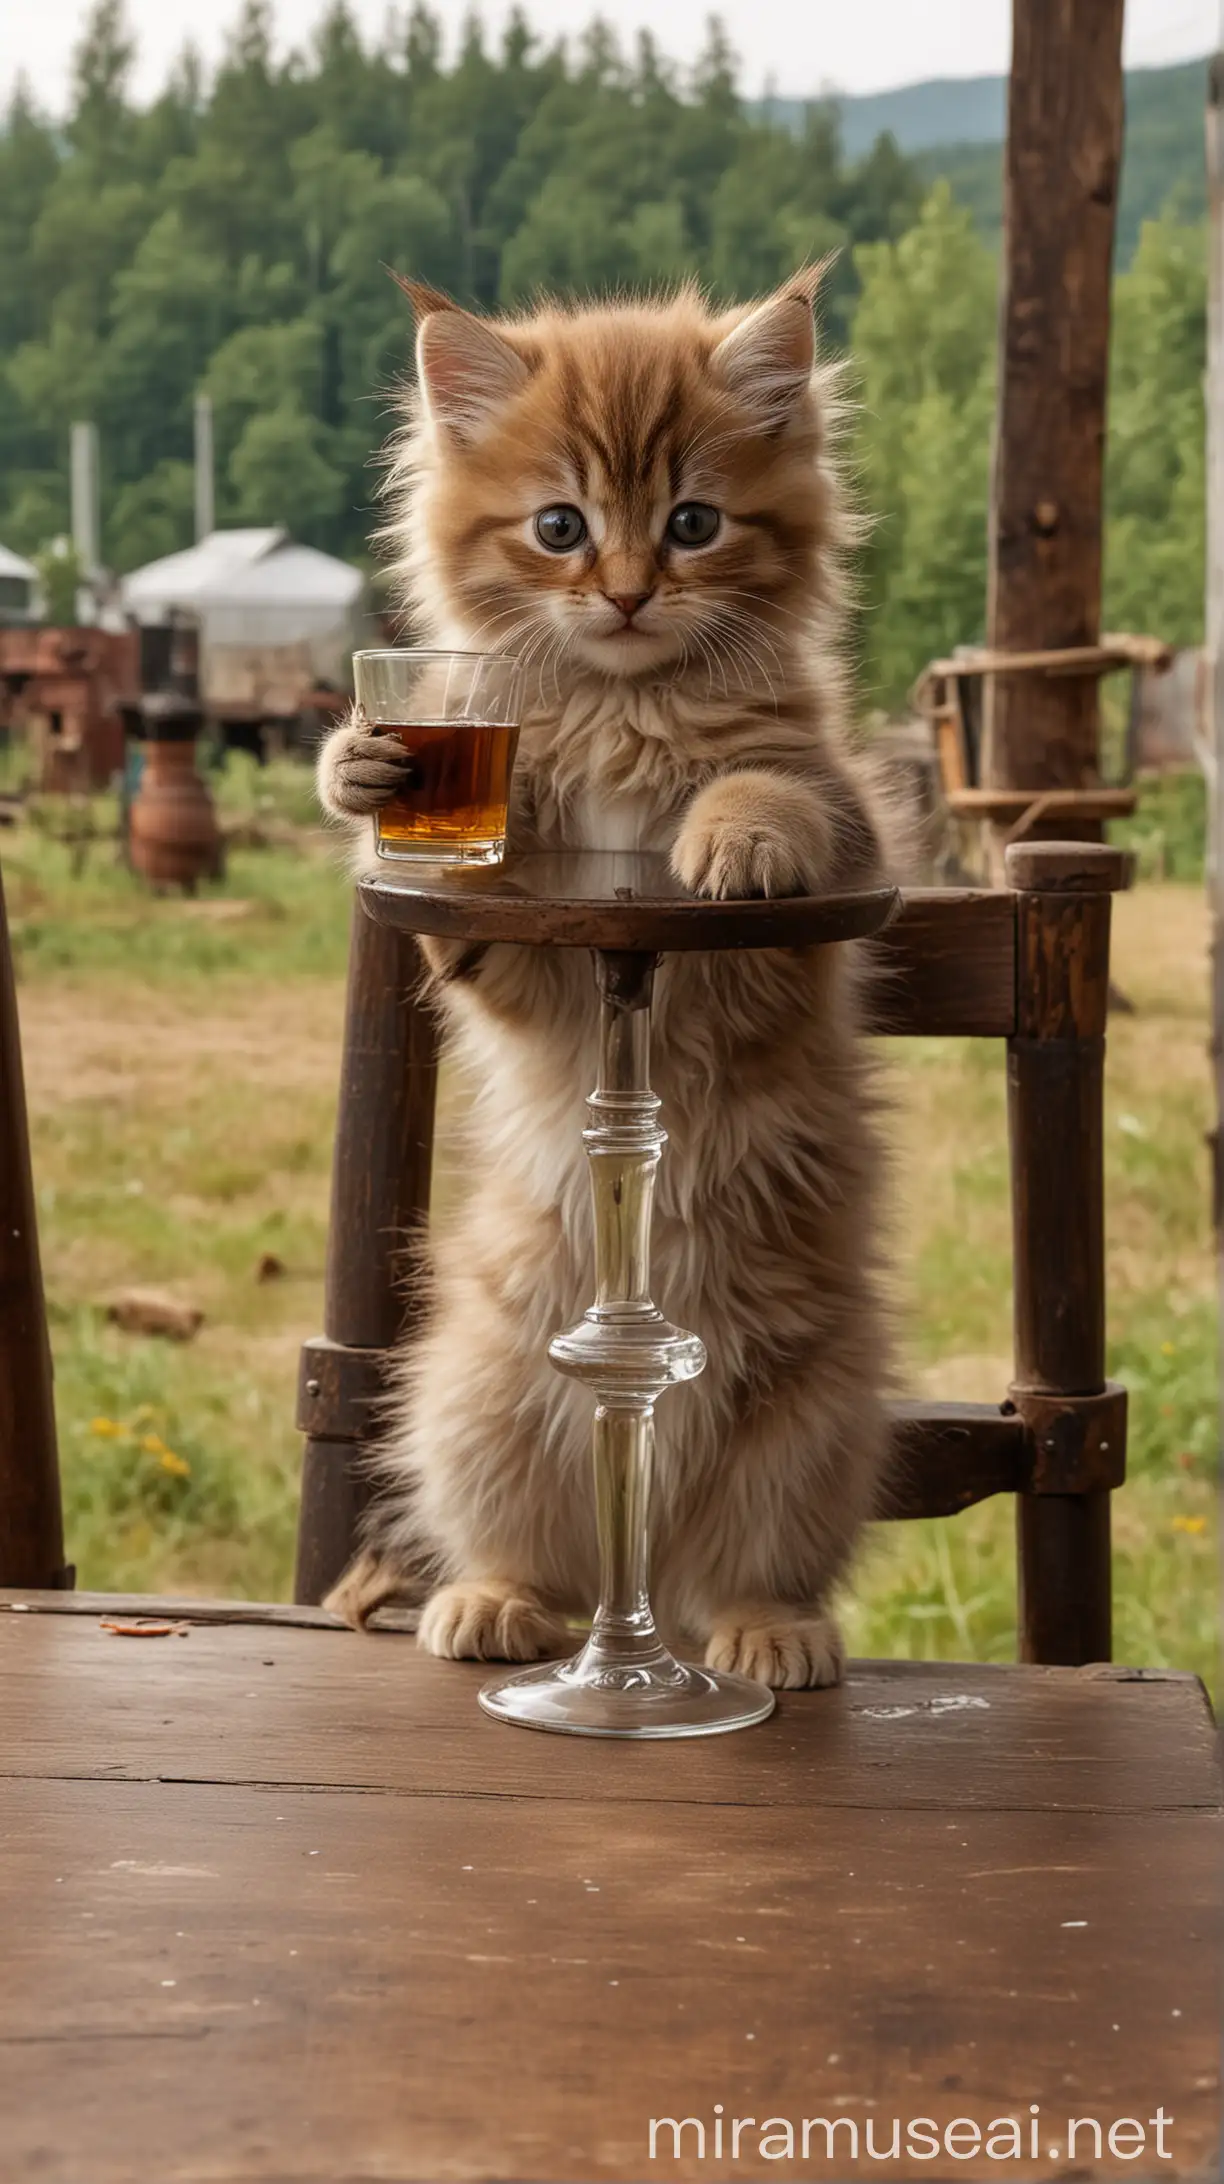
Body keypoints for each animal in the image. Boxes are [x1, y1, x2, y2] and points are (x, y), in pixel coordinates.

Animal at [314, 264, 896, 1677]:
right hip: (479, 1393)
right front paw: (362, 772)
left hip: (812, 1430)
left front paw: (737, 835)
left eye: (692, 523)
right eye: (560, 527)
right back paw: (496, 1604)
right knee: (551, 1557)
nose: (629, 592)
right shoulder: (535, 960)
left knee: (738, 1569)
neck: (628, 708)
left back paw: (761, 1633)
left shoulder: (818, 865)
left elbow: (765, 790)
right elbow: (463, 908)